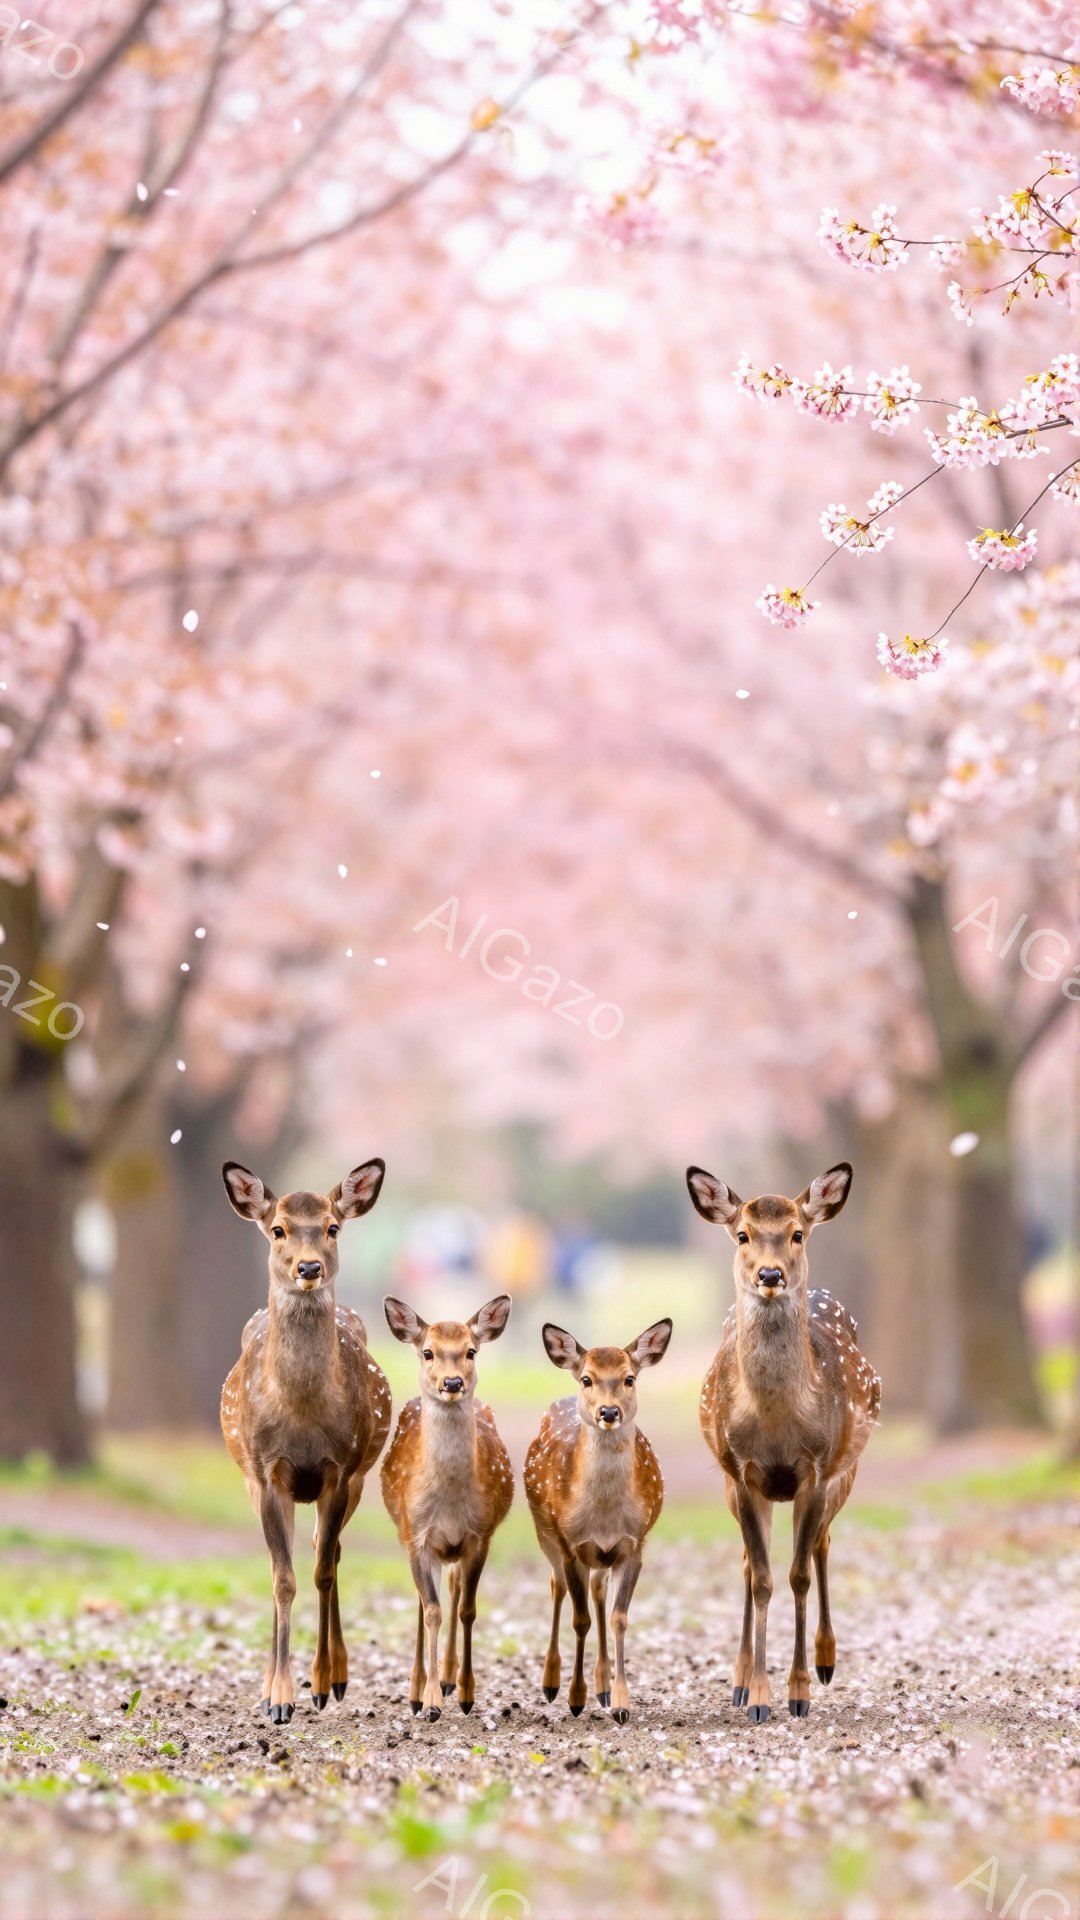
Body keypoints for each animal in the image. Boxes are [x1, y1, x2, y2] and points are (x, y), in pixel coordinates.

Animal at [220, 1158, 392, 1725]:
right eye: (278, 1229)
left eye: (333, 1227)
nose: (309, 1267)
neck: (301, 1417)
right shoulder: (267, 1471)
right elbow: (283, 1578)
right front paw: (278, 1697)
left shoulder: (341, 1468)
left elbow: (319, 1572)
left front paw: (317, 1683)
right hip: (258, 1481)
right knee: (292, 1561)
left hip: (357, 1478)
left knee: (329, 1552)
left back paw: (335, 1678)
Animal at [380, 1293, 514, 1720]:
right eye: (428, 1352)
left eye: (471, 1351)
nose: (452, 1382)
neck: (451, 1502)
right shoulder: (417, 1535)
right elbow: (432, 1610)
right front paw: (430, 1701)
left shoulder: (480, 1535)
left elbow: (467, 1609)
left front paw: (467, 1693)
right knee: (425, 1604)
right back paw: (416, 1689)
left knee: (453, 1591)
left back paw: (451, 1676)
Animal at [524, 1318, 672, 1725]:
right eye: (587, 1378)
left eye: (629, 1378)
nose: (608, 1412)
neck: (604, 1514)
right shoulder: (571, 1544)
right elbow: (581, 1620)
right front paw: (575, 1698)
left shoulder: (635, 1544)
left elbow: (619, 1617)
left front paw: (620, 1702)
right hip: (545, 1533)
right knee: (557, 1585)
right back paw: (551, 1683)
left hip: (602, 1556)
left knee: (598, 1591)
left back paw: (603, 1686)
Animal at [685, 1160, 881, 1724]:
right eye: (742, 1234)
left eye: (797, 1233)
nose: (770, 1275)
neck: (775, 1424)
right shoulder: (740, 1470)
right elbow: (763, 1577)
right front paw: (758, 1695)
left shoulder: (815, 1469)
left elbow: (798, 1575)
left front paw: (798, 1691)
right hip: (736, 1487)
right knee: (750, 1563)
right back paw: (738, 1680)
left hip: (845, 1473)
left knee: (821, 1545)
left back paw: (826, 1659)